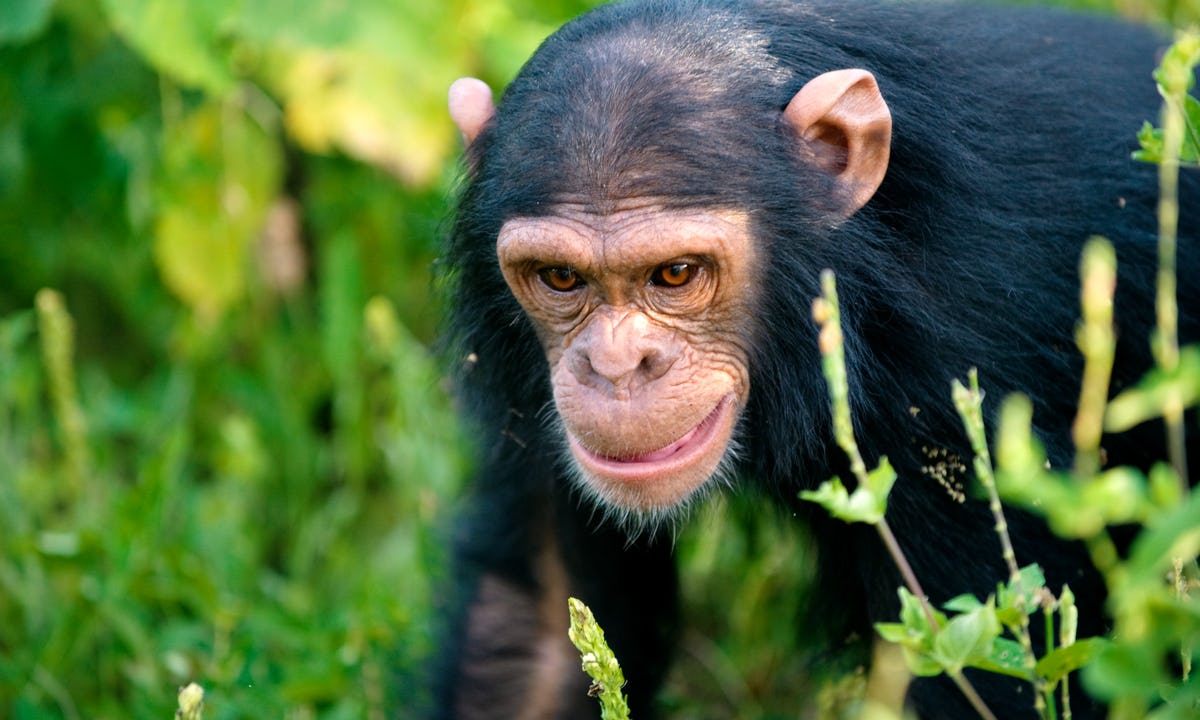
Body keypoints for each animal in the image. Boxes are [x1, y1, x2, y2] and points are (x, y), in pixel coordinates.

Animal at [429, 0, 1190, 715]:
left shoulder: (966, 379)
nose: (614, 367)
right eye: (561, 278)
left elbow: (981, 666)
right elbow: (537, 630)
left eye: (675, 274)